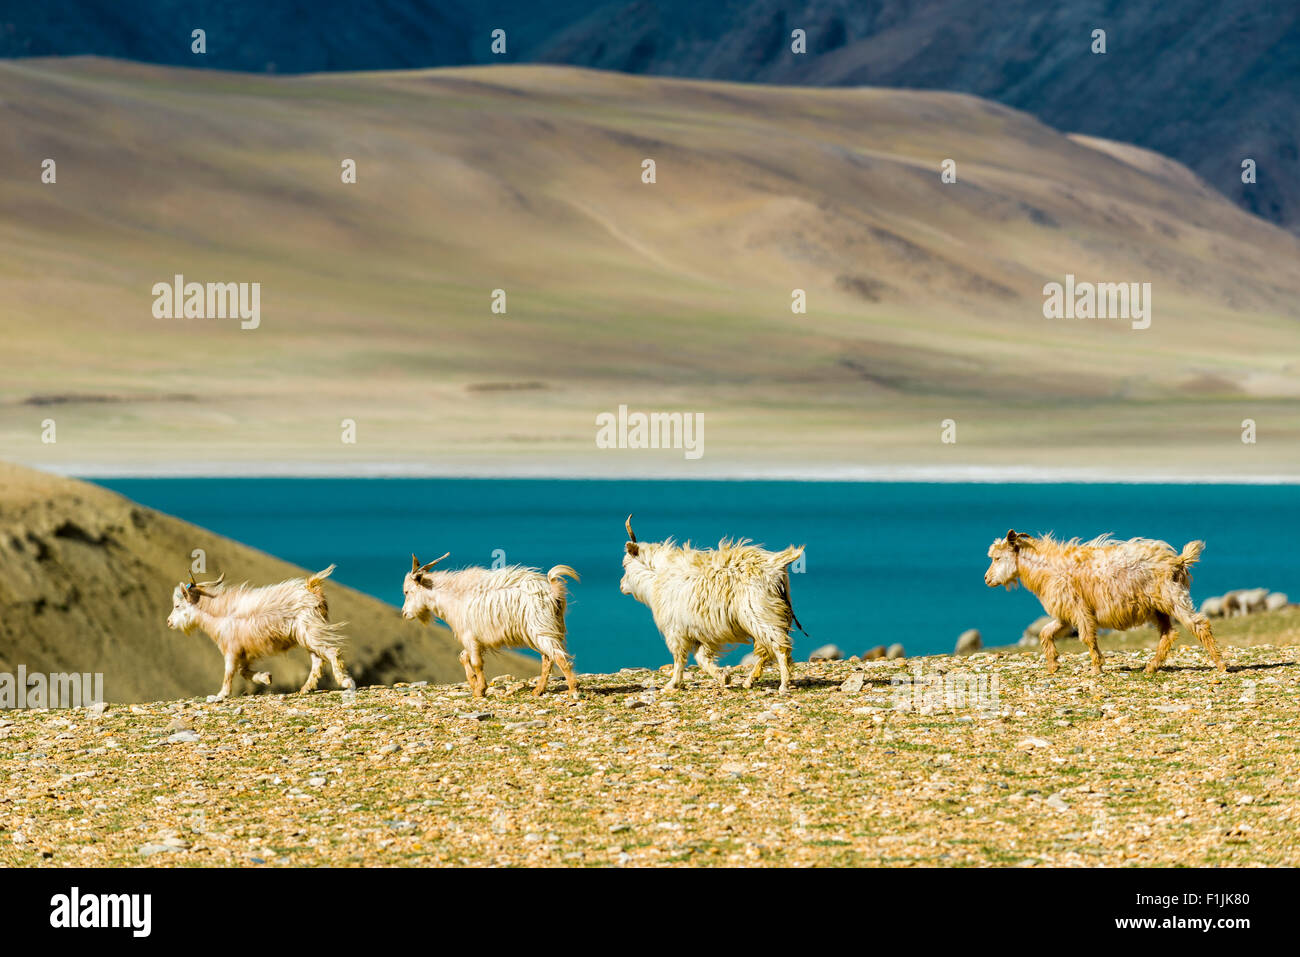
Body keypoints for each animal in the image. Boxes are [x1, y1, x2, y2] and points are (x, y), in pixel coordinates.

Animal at [163, 564, 356, 696]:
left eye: (177, 605)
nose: (169, 622)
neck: (221, 614)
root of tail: (311, 587)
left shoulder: (231, 650)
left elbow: (229, 671)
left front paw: (222, 693)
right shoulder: (244, 653)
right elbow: (243, 672)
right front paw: (266, 677)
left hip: (310, 631)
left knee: (331, 651)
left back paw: (345, 681)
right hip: (307, 635)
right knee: (317, 660)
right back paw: (305, 688)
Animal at [397, 548, 577, 696]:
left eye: (407, 591)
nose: (405, 613)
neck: (452, 595)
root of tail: (552, 592)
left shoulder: (469, 636)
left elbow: (476, 662)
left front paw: (479, 690)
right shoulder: (476, 639)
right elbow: (463, 657)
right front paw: (474, 684)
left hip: (540, 628)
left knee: (557, 656)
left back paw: (573, 690)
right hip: (545, 629)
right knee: (548, 658)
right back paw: (538, 690)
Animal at [616, 520, 800, 691]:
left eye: (625, 565)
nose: (621, 586)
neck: (657, 575)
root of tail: (775, 567)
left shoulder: (675, 630)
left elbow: (679, 657)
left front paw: (673, 683)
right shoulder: (699, 631)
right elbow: (701, 658)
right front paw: (723, 677)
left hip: (761, 614)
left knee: (779, 647)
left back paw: (783, 684)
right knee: (765, 649)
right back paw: (749, 681)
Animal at [987, 527, 1222, 676]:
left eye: (997, 558)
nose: (987, 579)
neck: (1050, 569)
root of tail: (1178, 561)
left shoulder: (1079, 609)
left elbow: (1087, 637)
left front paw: (1096, 668)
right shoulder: (1065, 615)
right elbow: (1046, 633)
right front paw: (1053, 665)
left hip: (1174, 598)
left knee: (1199, 625)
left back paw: (1220, 664)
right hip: (1157, 608)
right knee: (1168, 633)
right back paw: (1152, 667)